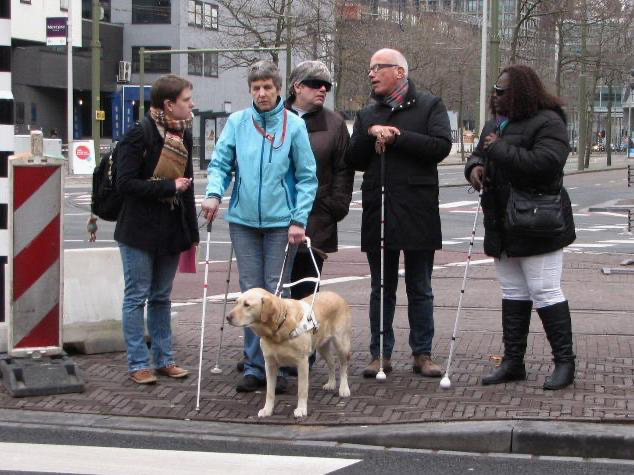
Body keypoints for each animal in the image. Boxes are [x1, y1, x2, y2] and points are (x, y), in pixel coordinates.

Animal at [225, 286, 350, 416]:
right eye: (236, 302)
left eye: (247, 304)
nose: (227, 317)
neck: (279, 328)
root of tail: (336, 295)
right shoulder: (269, 364)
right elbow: (270, 392)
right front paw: (267, 410)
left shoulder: (302, 363)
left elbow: (302, 390)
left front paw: (301, 409)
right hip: (322, 346)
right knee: (331, 363)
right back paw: (331, 383)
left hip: (341, 344)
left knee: (343, 366)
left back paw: (344, 389)